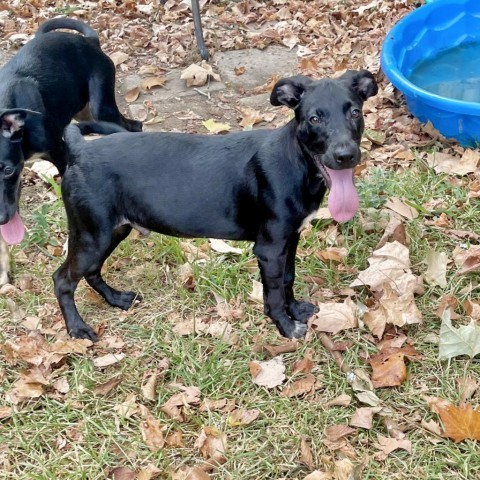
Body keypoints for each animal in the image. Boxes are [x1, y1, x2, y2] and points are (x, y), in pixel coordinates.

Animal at [0, 16, 142, 282]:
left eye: (7, 170)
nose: (2, 217)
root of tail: (90, 41)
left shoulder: (60, 152)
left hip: (101, 106)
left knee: (133, 126)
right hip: (84, 111)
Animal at [55, 70, 378, 342]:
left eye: (355, 112)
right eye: (314, 119)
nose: (346, 156)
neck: (297, 163)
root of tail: (79, 149)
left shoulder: (291, 238)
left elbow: (288, 278)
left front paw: (296, 309)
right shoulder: (270, 248)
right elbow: (273, 293)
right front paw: (285, 326)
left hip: (111, 230)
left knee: (91, 271)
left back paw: (116, 298)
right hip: (92, 234)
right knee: (62, 279)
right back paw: (78, 328)